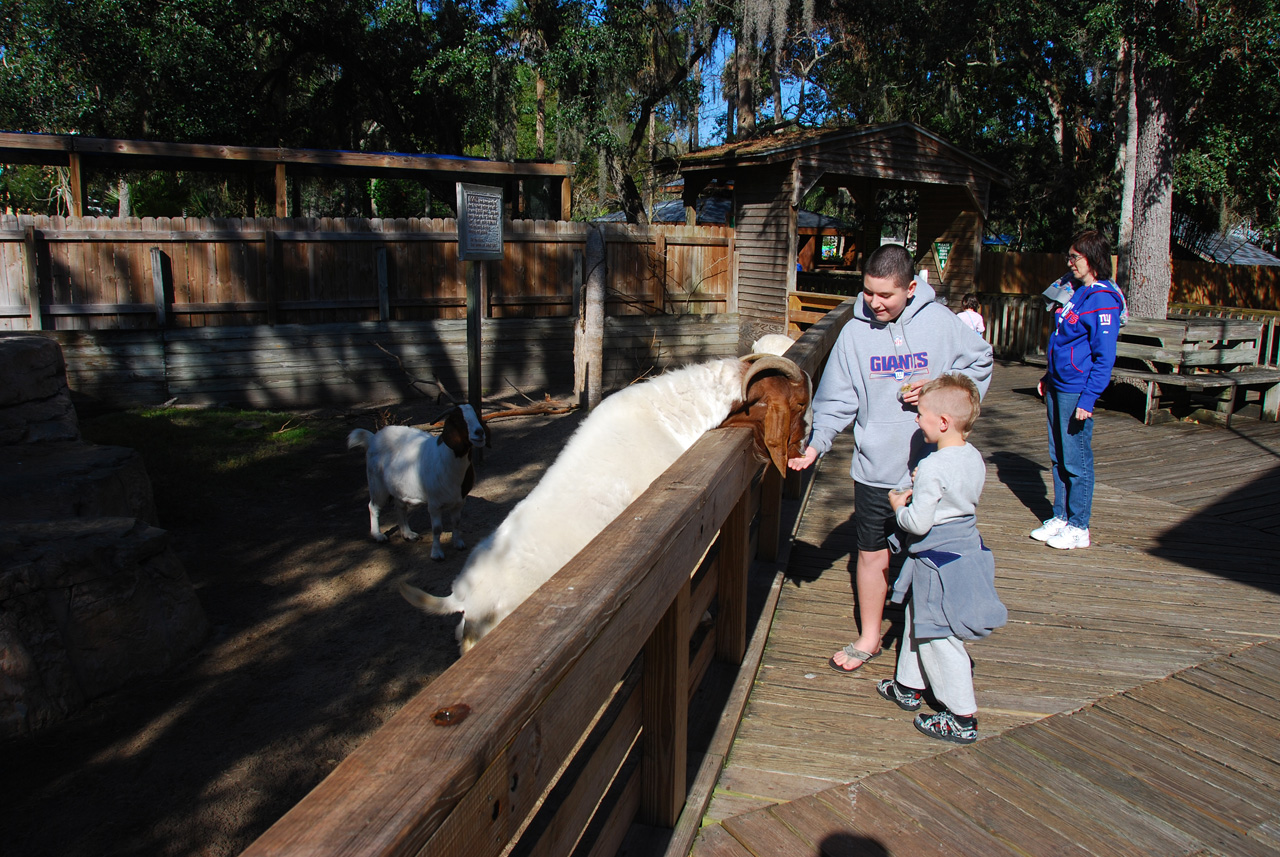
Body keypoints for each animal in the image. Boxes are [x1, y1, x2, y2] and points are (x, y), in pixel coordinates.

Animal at [345, 404, 488, 560]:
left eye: (477, 416)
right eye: (457, 419)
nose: (479, 432)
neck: (446, 459)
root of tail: (372, 438)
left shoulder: (460, 501)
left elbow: (456, 523)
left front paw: (458, 544)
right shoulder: (434, 504)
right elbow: (437, 529)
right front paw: (436, 554)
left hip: (399, 487)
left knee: (400, 507)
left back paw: (408, 534)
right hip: (377, 485)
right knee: (373, 506)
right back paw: (378, 535)